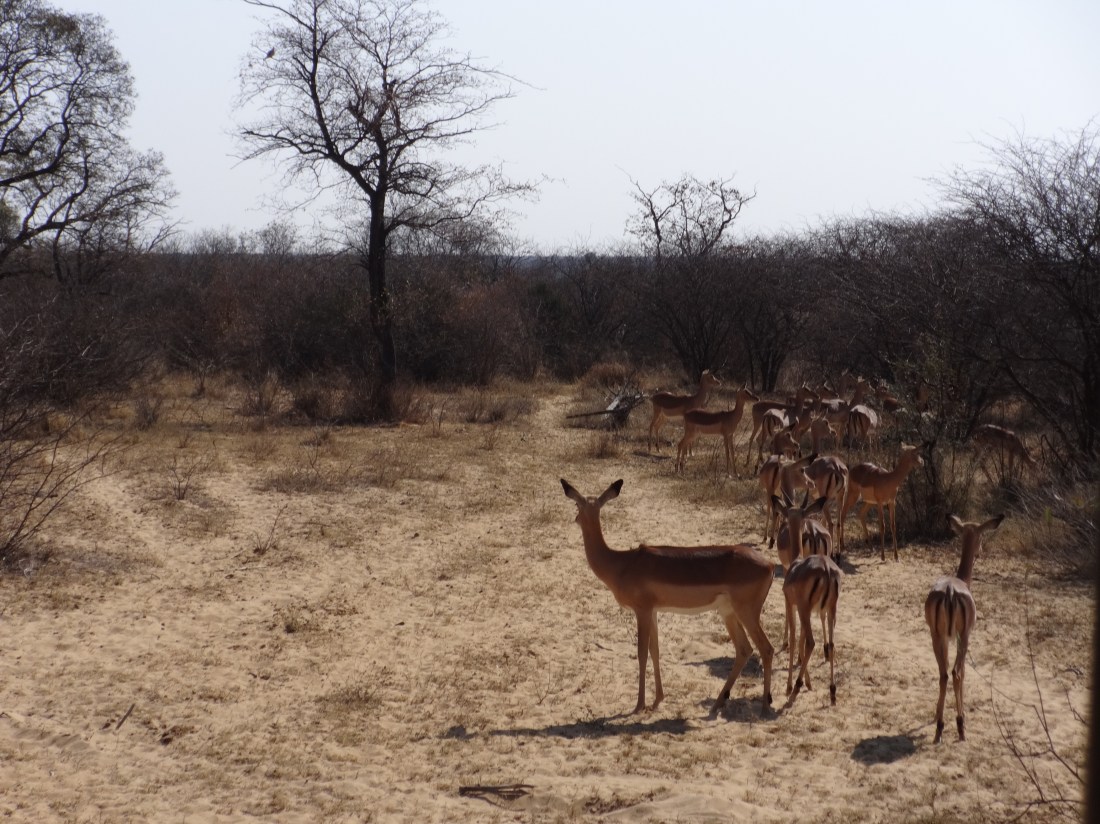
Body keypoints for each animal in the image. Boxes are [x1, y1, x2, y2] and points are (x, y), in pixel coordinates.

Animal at [561, 479, 775, 715]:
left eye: (577, 505)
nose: (575, 519)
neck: (621, 564)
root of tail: (770, 565)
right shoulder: (653, 612)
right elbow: (655, 651)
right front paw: (657, 701)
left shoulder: (642, 611)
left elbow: (641, 654)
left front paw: (639, 706)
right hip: (728, 612)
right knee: (745, 650)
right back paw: (718, 703)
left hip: (746, 613)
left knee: (766, 649)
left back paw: (765, 706)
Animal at [775, 493, 842, 704]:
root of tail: (827, 570)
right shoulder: (808, 610)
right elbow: (802, 639)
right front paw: (809, 682)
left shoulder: (793, 604)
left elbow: (795, 636)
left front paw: (792, 685)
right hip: (831, 610)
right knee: (831, 644)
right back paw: (832, 691)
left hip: (806, 610)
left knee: (812, 642)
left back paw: (795, 688)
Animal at [925, 513, 1004, 743]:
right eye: (981, 536)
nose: (981, 551)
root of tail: (951, 591)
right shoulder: (965, 635)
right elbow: (964, 672)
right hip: (962, 637)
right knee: (956, 672)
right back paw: (960, 726)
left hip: (937, 637)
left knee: (943, 673)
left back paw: (939, 726)